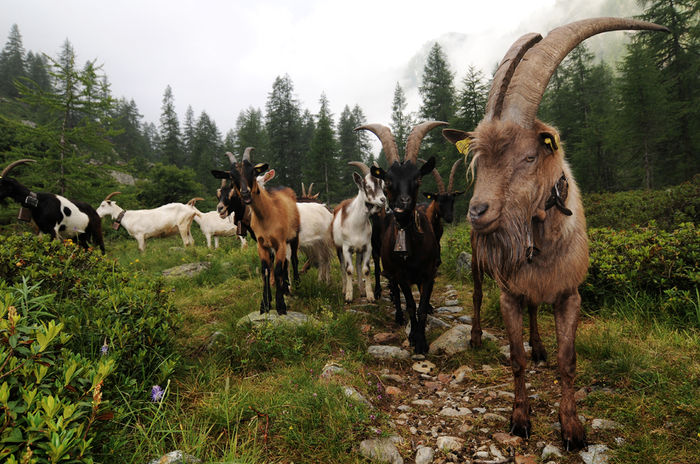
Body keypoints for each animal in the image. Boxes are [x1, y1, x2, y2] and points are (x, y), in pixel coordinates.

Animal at [212, 147, 302, 314]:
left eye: (253, 171)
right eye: (232, 176)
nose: (246, 193)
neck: (268, 214)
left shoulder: (279, 243)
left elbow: (278, 269)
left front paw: (281, 305)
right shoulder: (261, 244)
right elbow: (265, 270)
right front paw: (265, 304)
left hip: (294, 236)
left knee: (293, 259)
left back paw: (296, 285)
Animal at [330, 161, 386, 302]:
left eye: (382, 184)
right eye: (367, 186)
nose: (383, 200)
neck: (355, 225)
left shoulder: (367, 247)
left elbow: (366, 269)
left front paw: (370, 295)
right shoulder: (346, 248)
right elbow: (349, 269)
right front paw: (349, 296)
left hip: (359, 250)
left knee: (359, 266)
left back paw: (361, 290)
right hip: (338, 247)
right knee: (342, 266)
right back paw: (344, 289)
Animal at [358, 121, 446, 354]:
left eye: (418, 178)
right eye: (388, 180)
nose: (402, 204)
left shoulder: (429, 272)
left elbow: (422, 306)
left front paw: (422, 342)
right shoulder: (401, 274)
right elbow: (410, 303)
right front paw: (415, 337)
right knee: (395, 292)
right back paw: (398, 315)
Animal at [442, 17, 668, 450]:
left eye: (530, 156)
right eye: (478, 161)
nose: (477, 213)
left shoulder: (569, 295)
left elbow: (568, 361)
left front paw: (573, 428)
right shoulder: (509, 293)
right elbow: (515, 358)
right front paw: (520, 419)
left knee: (536, 312)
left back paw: (541, 346)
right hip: (480, 264)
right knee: (477, 295)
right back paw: (477, 338)